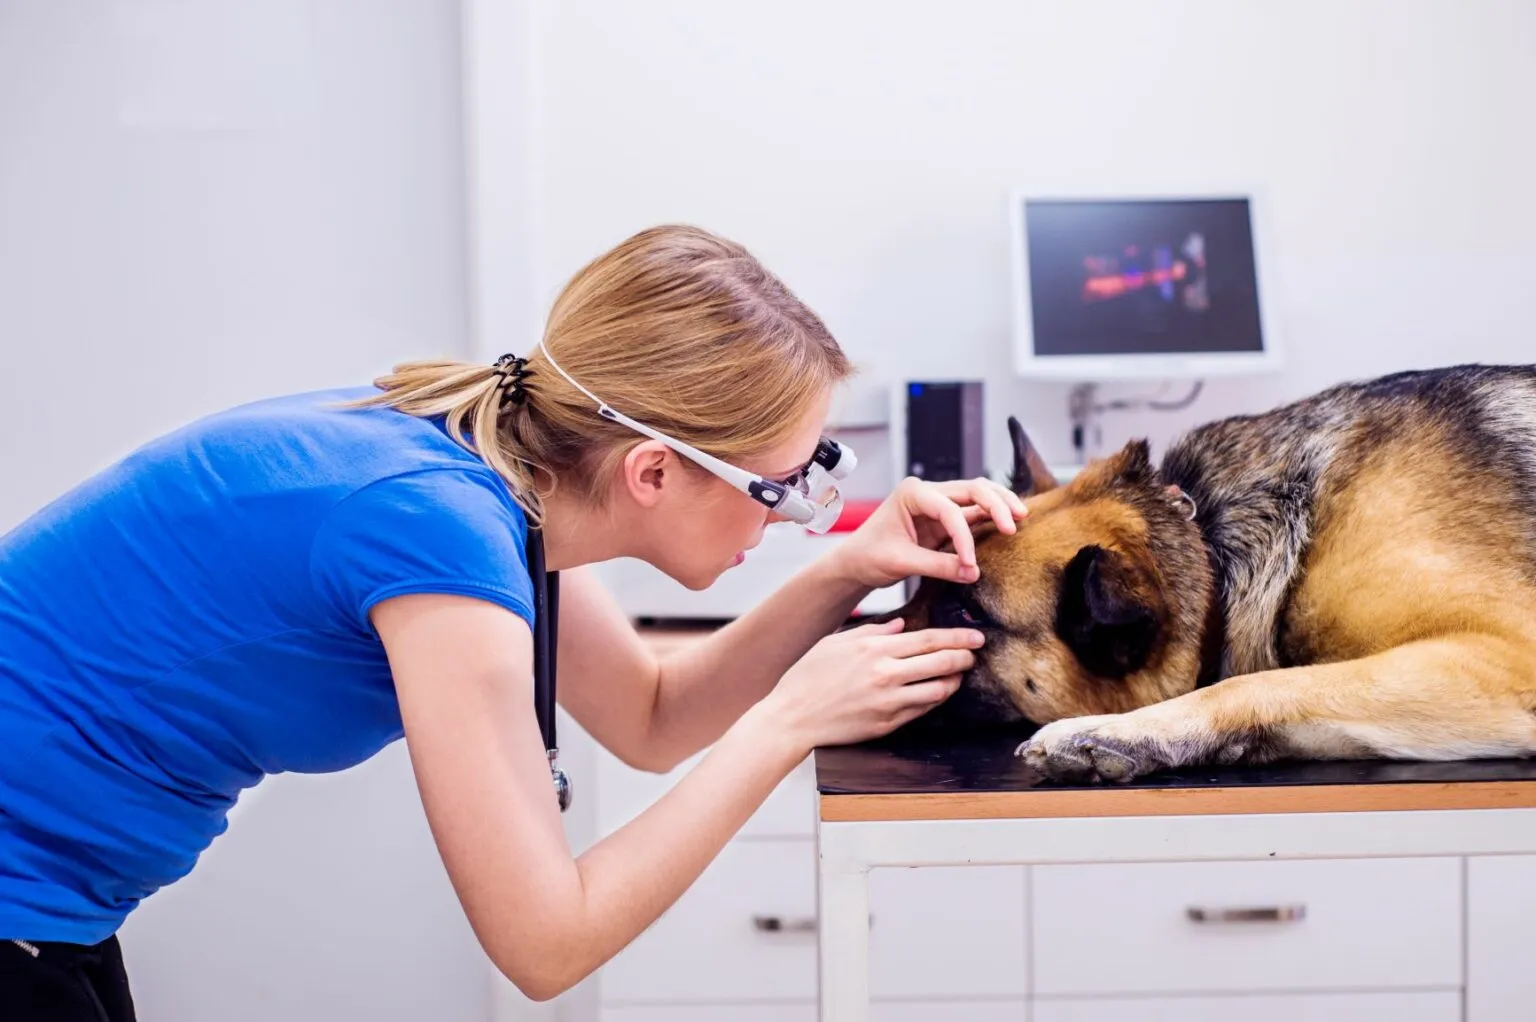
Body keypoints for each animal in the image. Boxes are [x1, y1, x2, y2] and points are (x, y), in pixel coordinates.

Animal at [897, 362, 1536, 783]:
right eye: (925, 583)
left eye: (965, 611)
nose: (868, 633)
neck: (1207, 547)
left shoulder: (1502, 657)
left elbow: (1257, 683)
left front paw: (1114, 731)